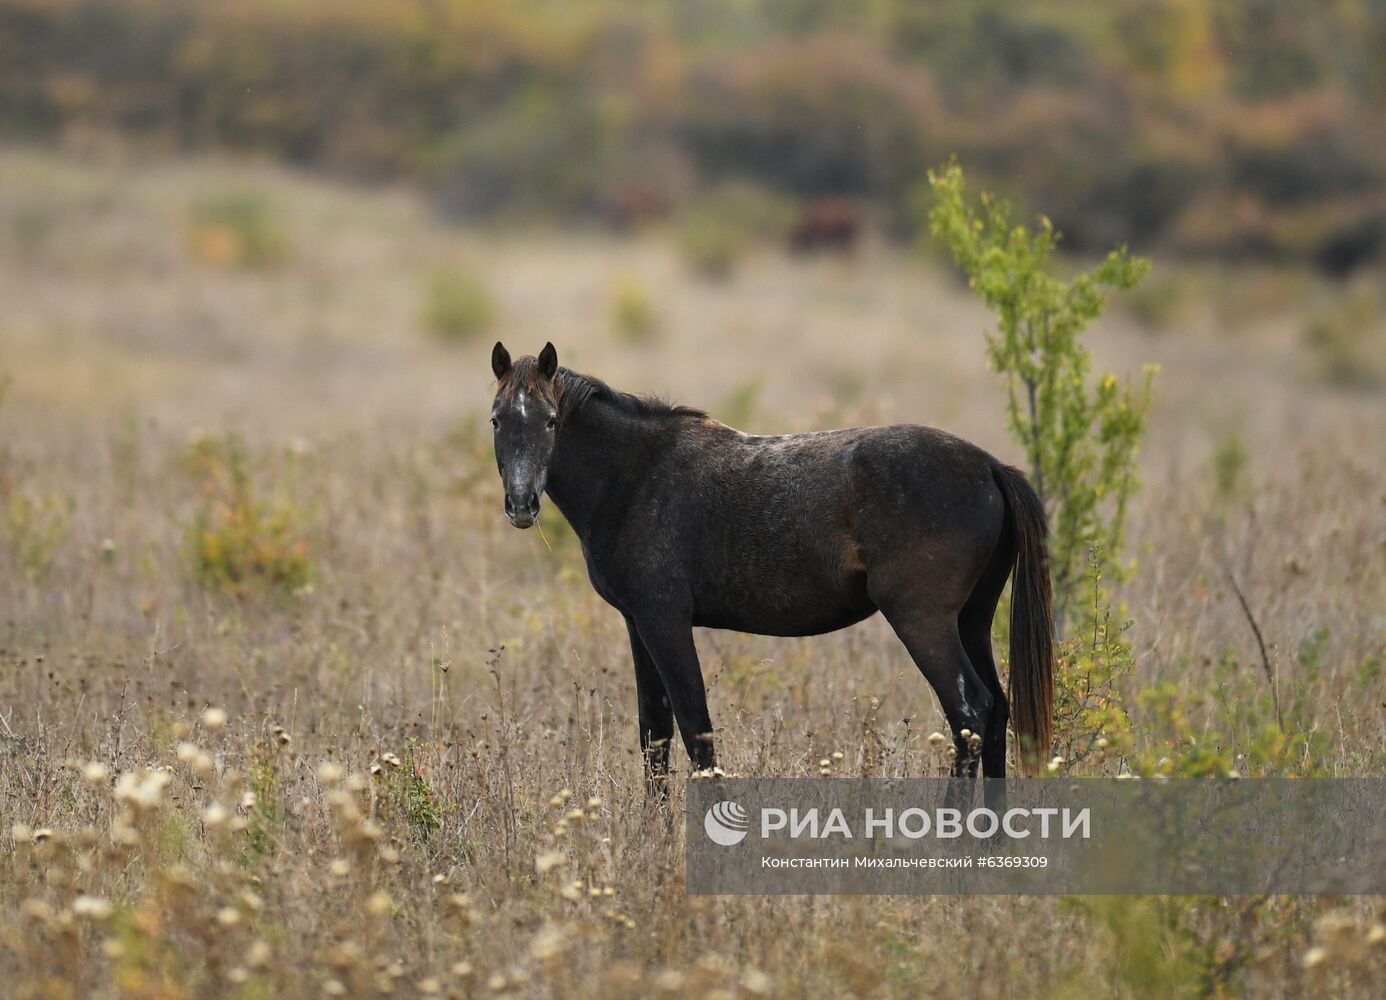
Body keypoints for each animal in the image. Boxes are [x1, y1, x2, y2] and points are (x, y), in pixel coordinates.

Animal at [487, 343, 1047, 786]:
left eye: (551, 420)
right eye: (497, 420)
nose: (521, 504)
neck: (634, 475)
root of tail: (990, 466)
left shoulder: (664, 622)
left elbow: (695, 731)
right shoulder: (637, 623)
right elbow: (655, 737)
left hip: (923, 621)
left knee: (970, 713)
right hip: (971, 620)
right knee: (996, 711)